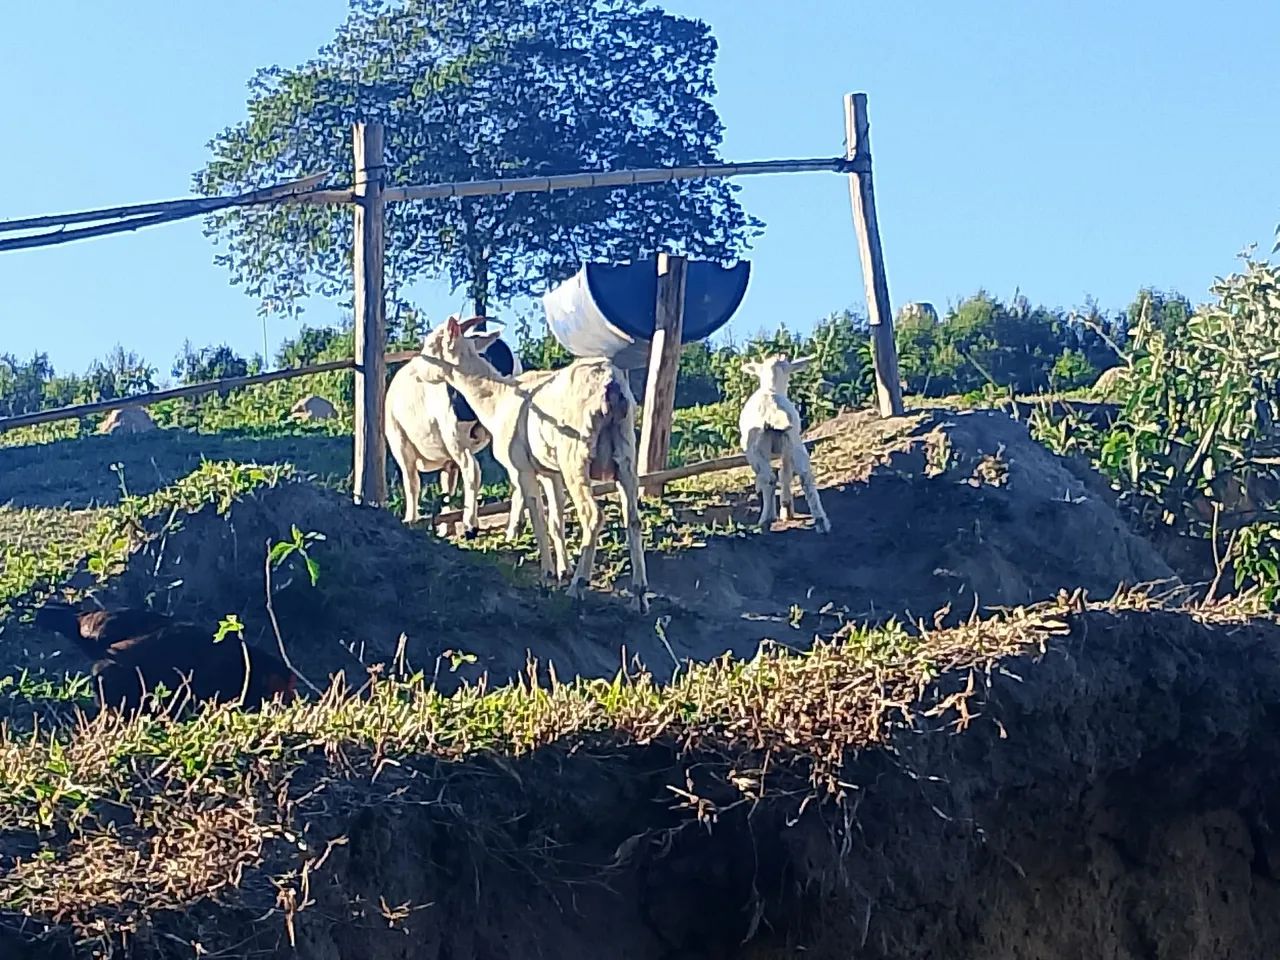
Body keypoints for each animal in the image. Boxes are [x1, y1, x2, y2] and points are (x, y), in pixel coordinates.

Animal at [385, 332, 522, 532]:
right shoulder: (448, 460)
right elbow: (447, 487)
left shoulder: (400, 442)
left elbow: (411, 483)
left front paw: (410, 520)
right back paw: (514, 526)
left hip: (453, 434)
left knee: (471, 470)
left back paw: (470, 524)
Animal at [418, 315, 650, 612]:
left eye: (431, 345)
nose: (418, 371)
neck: (498, 400)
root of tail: (611, 386)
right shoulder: (550, 472)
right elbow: (555, 519)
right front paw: (562, 570)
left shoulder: (522, 468)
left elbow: (538, 516)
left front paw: (548, 577)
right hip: (625, 453)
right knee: (633, 517)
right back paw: (639, 596)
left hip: (576, 458)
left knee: (593, 515)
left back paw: (578, 587)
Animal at [739, 355, 831, 534]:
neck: (771, 387)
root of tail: (773, 411)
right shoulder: (786, 448)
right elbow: (786, 473)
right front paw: (786, 508)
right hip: (794, 441)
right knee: (805, 476)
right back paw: (821, 521)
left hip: (756, 449)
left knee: (769, 479)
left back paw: (765, 520)